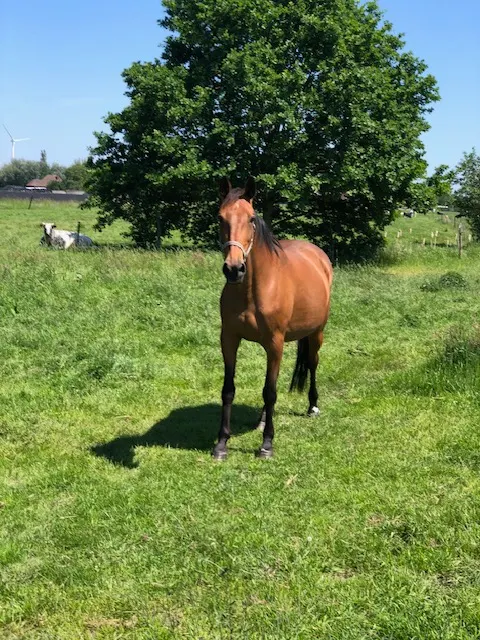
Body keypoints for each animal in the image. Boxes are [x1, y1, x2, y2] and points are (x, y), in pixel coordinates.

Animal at [214, 177, 333, 460]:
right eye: (221, 217)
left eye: (251, 219)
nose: (234, 269)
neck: (253, 289)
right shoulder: (229, 339)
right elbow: (229, 389)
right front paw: (222, 443)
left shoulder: (275, 343)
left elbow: (270, 391)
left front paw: (267, 444)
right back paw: (261, 420)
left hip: (316, 333)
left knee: (312, 363)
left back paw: (312, 406)